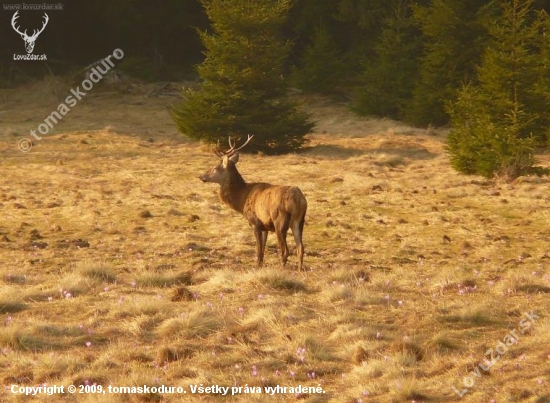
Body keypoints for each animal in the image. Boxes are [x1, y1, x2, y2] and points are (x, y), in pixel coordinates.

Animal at [201, 135, 308, 272]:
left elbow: (258, 250)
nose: (201, 176)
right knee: (301, 248)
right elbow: (262, 249)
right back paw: (299, 270)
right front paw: (260, 265)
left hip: (280, 221)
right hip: (299, 221)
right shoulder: (265, 226)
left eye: (215, 168)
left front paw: (257, 266)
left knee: (285, 250)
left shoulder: (255, 222)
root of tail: (299, 199)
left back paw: (282, 269)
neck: (242, 199)